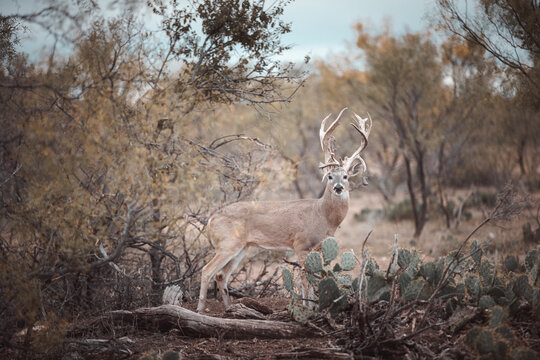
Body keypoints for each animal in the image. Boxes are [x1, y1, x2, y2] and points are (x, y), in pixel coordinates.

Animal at [197, 107, 372, 312]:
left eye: (345, 176)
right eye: (329, 176)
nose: (338, 188)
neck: (322, 215)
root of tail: (211, 219)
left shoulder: (317, 248)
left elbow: (310, 280)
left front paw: (311, 308)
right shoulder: (301, 244)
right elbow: (305, 280)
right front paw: (307, 309)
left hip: (241, 248)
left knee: (221, 275)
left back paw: (230, 309)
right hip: (227, 244)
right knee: (206, 271)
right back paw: (200, 309)